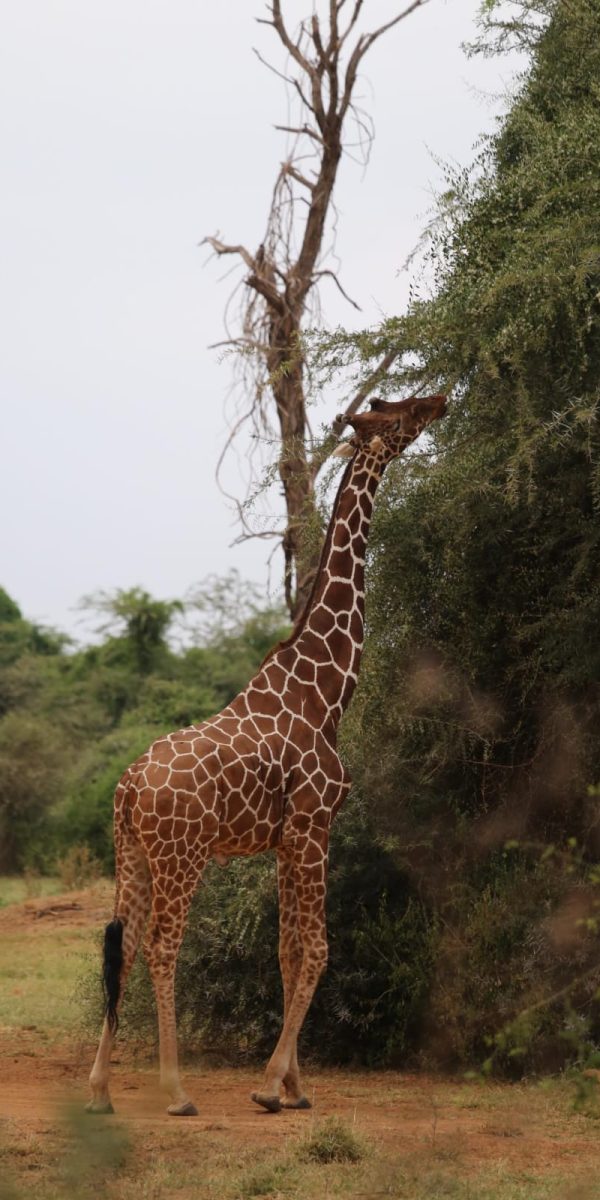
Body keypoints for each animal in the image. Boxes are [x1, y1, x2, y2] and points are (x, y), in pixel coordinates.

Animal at [87, 393, 446, 1113]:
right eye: (396, 413)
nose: (441, 399)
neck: (326, 693)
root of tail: (129, 786)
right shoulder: (314, 824)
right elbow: (318, 950)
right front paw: (271, 1085)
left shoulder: (285, 838)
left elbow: (286, 951)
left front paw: (294, 1087)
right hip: (183, 855)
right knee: (163, 948)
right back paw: (175, 1090)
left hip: (131, 853)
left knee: (125, 946)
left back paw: (101, 1089)